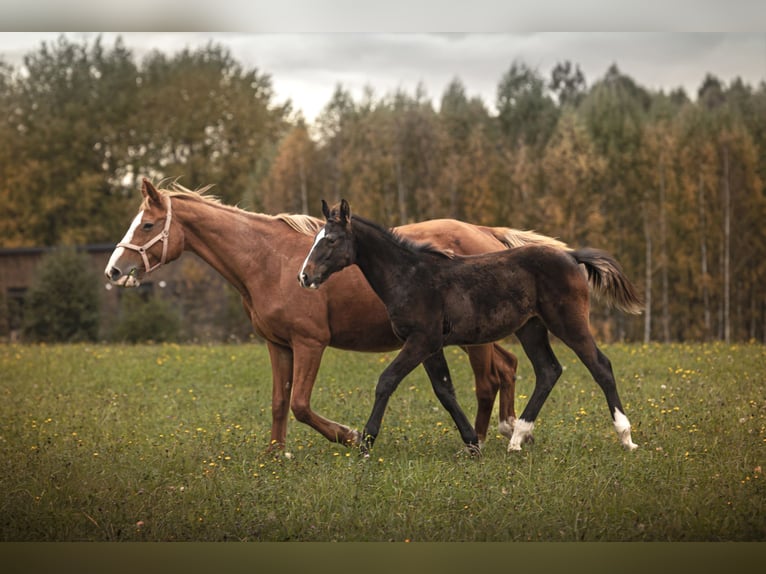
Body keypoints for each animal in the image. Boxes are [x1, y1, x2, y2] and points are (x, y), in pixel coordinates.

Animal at [103, 180, 564, 450]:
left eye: (146, 225)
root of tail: (486, 233)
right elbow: (279, 402)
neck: (268, 260)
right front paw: (275, 455)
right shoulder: (277, 345)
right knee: (507, 368)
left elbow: (300, 405)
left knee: (488, 381)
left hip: (474, 340)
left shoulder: (310, 343)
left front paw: (350, 435)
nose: (114, 270)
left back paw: (483, 437)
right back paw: (510, 429)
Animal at [302, 200, 648, 456]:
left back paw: (626, 437)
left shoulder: (421, 340)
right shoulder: (431, 346)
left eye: (331, 240)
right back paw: (517, 439)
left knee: (600, 366)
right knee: (548, 370)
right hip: (531, 328)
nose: (304, 277)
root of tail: (571, 255)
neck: (410, 276)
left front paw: (366, 442)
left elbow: (387, 381)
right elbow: (444, 390)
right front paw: (471, 443)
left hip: (569, 323)